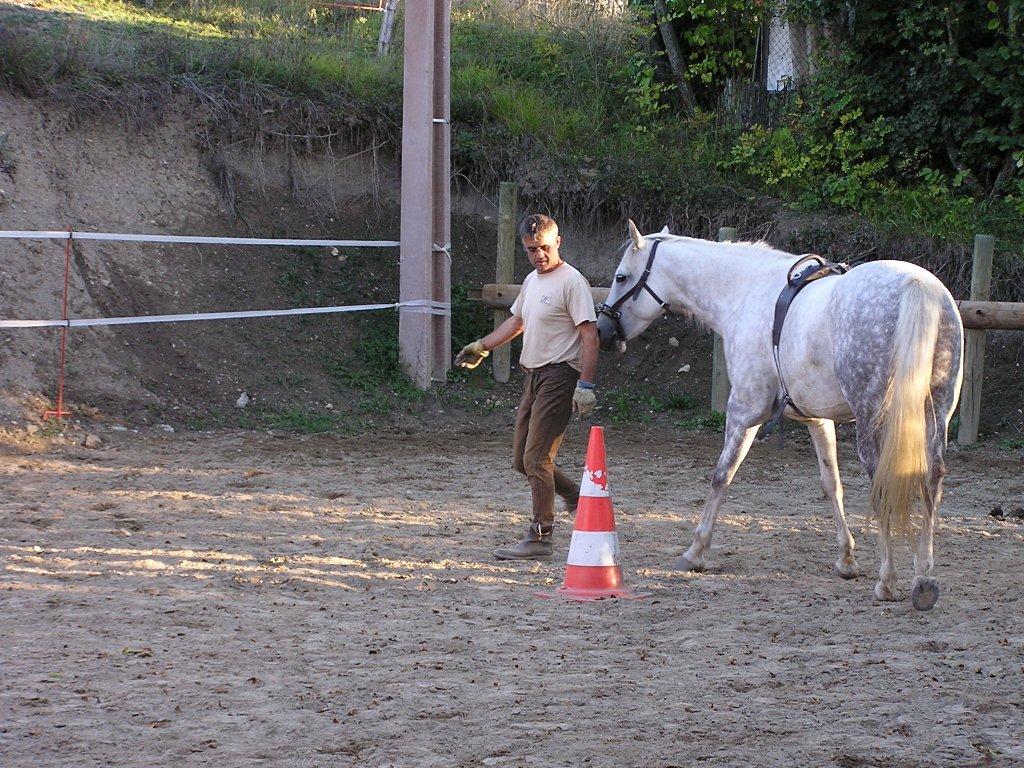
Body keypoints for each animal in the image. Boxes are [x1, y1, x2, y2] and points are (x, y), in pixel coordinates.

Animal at [598, 222, 962, 614]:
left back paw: (888, 581)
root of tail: (918, 284)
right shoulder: (818, 421)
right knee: (932, 477)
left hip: (872, 419)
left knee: (885, 483)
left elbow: (721, 476)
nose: (603, 331)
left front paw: (695, 552)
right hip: (937, 413)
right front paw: (846, 559)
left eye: (621, 277)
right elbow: (831, 484)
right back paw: (923, 575)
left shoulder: (744, 411)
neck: (745, 292)